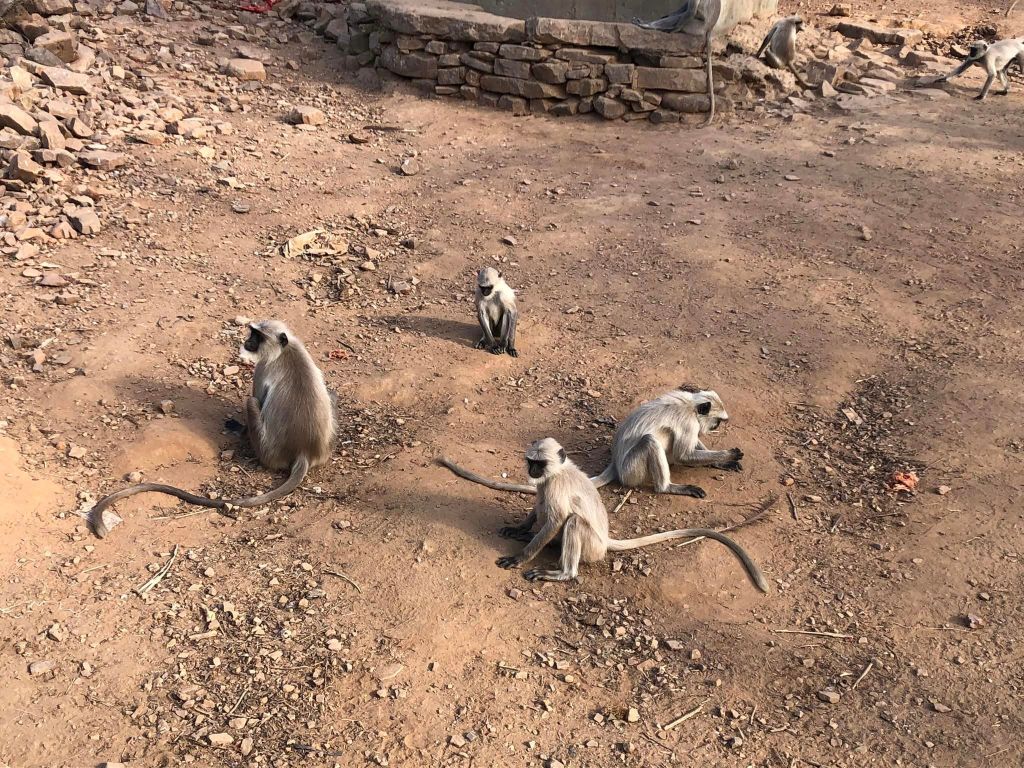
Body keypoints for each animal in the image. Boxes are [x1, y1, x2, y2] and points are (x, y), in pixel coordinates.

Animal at [88, 320, 337, 538]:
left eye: (257, 336)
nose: (247, 341)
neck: (284, 351)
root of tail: (304, 451)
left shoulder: (262, 369)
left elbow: (255, 397)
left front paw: (239, 428)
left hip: (266, 449)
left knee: (251, 402)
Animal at [493, 437, 768, 590]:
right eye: (531, 462)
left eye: (540, 463)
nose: (532, 470)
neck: (558, 471)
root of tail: (605, 541)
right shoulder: (545, 484)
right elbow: (538, 504)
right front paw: (519, 529)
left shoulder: (556, 485)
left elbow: (557, 519)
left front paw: (520, 557)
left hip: (592, 547)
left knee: (573, 521)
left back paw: (563, 573)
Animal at [588, 384, 742, 498]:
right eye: (717, 421)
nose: (716, 426)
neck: (691, 406)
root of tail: (615, 463)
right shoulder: (689, 422)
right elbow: (683, 456)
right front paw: (729, 455)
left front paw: (720, 462)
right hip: (630, 471)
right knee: (649, 440)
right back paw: (667, 487)